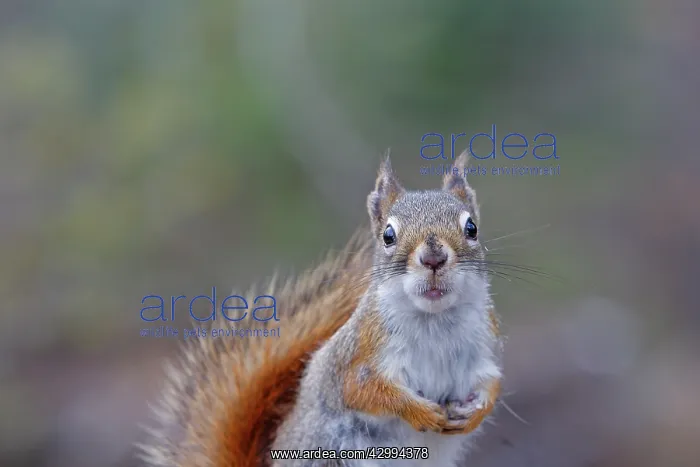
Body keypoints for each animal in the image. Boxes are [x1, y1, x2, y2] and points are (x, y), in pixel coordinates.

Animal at [139, 153, 503, 467]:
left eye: (471, 228)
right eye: (388, 235)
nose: (434, 258)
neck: (435, 318)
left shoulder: (484, 351)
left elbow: (492, 385)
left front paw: (476, 413)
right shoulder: (357, 358)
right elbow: (363, 391)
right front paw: (421, 412)